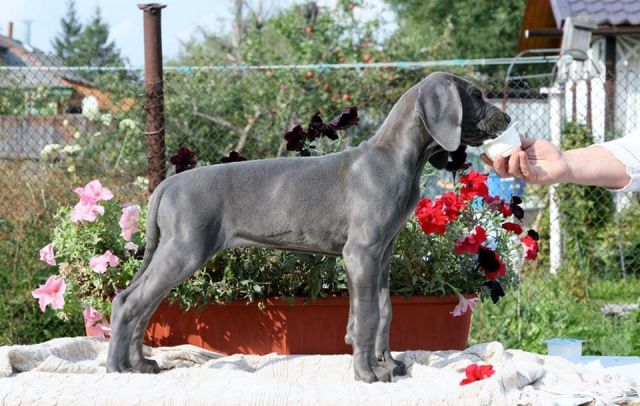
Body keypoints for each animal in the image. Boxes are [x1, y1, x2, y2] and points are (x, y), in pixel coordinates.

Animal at [106, 72, 510, 383]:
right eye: (476, 95)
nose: (507, 120)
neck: (396, 158)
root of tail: (167, 184)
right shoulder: (360, 253)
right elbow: (367, 315)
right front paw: (367, 373)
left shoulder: (382, 253)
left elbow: (383, 310)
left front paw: (389, 364)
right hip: (184, 249)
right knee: (130, 303)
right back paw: (116, 368)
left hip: (174, 251)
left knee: (139, 303)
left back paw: (141, 365)